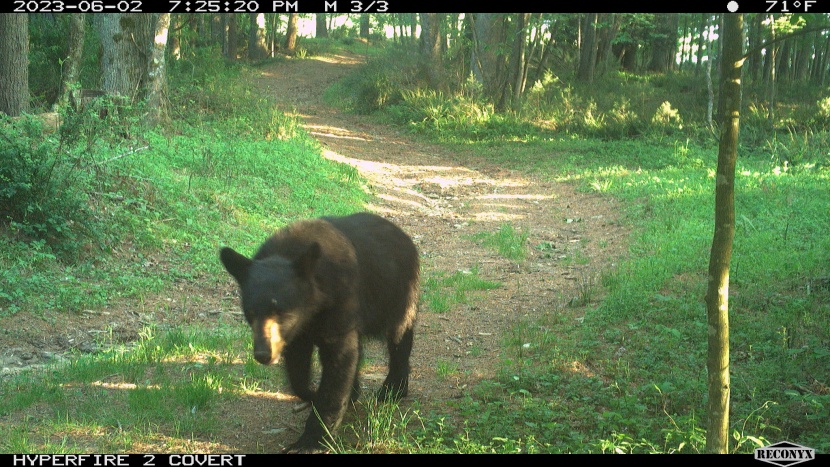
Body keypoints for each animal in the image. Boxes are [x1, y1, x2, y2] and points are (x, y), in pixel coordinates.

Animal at [219, 212, 419, 453]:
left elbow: (339, 362)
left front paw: (309, 441)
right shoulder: (297, 331)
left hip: (395, 293)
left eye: (281, 310)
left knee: (399, 335)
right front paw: (314, 394)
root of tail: (403, 234)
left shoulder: (341, 302)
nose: (262, 354)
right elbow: (298, 369)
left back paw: (393, 388)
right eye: (249, 312)